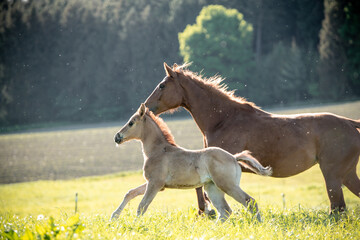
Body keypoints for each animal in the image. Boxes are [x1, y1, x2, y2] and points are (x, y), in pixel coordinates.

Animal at [111, 104, 272, 222]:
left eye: (131, 123)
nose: (117, 137)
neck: (159, 151)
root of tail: (233, 157)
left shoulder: (155, 183)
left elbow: (142, 206)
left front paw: (135, 225)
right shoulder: (157, 184)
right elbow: (130, 193)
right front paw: (114, 217)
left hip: (228, 185)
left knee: (249, 201)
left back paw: (258, 224)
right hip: (212, 188)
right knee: (225, 211)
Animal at [144, 62, 360, 214]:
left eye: (162, 85)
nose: (146, 106)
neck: (223, 119)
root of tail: (350, 123)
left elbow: (199, 189)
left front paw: (207, 211)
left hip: (332, 175)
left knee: (338, 208)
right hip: (346, 174)